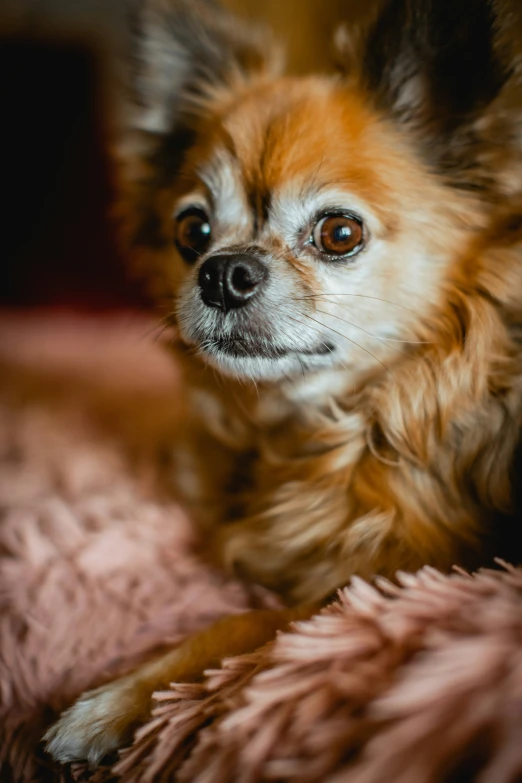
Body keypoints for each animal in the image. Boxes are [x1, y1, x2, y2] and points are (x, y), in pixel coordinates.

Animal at [43, 0, 520, 768]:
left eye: (338, 233)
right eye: (192, 230)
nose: (222, 271)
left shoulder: (405, 578)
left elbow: (246, 621)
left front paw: (111, 702)